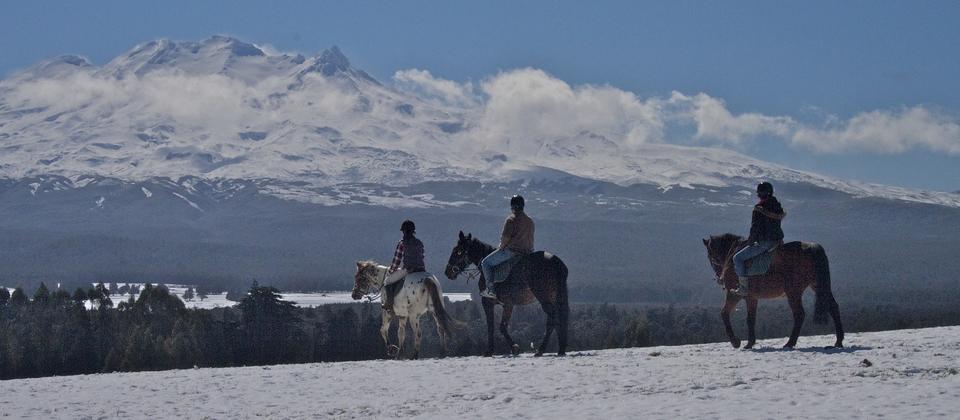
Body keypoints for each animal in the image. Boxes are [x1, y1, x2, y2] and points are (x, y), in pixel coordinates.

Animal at [700, 235, 844, 350]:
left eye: (710, 257)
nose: (719, 278)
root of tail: (811, 248)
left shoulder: (734, 295)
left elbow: (724, 313)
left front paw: (736, 342)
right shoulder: (752, 298)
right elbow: (750, 319)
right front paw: (749, 343)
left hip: (793, 292)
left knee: (799, 314)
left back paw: (789, 343)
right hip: (819, 286)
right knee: (833, 307)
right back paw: (838, 342)